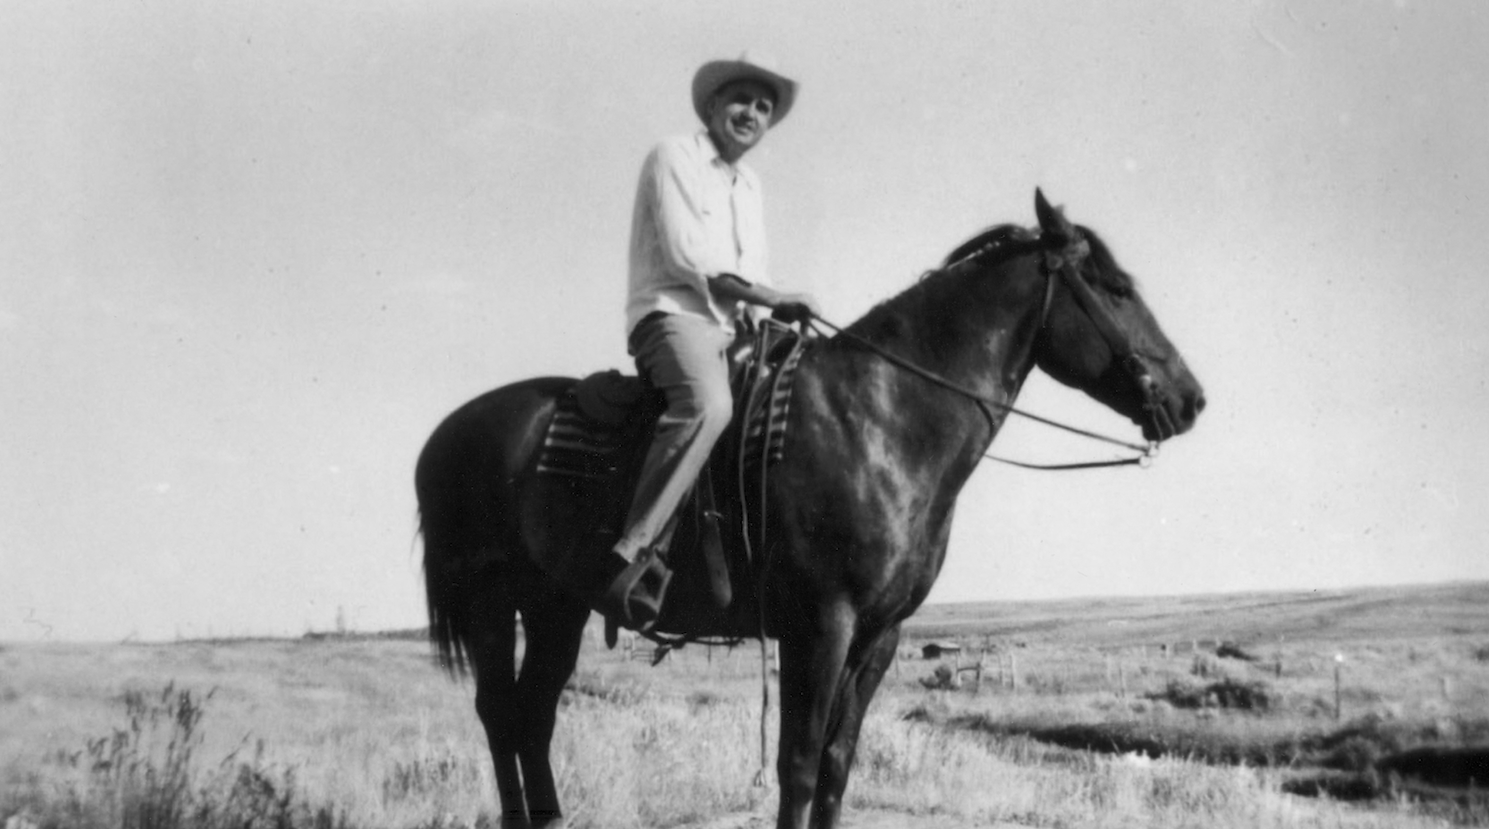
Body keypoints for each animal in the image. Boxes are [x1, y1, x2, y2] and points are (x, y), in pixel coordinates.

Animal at [413, 189, 1203, 827]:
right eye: (1116, 289)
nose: (1191, 399)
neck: (883, 418)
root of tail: (444, 434)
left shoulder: (878, 634)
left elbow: (834, 763)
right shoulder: (821, 624)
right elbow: (795, 765)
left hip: (556, 606)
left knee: (534, 715)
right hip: (492, 602)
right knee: (501, 715)